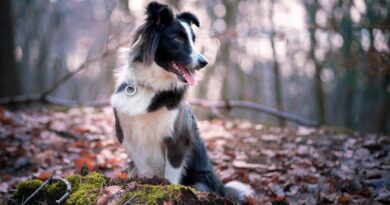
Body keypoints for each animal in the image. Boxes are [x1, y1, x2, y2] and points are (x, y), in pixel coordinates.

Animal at [111, 2, 254, 203]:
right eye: (178, 38)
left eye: (193, 40)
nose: (204, 62)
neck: (152, 86)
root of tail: (221, 189)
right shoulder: (126, 134)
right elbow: (143, 165)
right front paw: (145, 183)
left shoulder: (177, 138)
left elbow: (171, 174)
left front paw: (166, 189)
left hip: (201, 183)